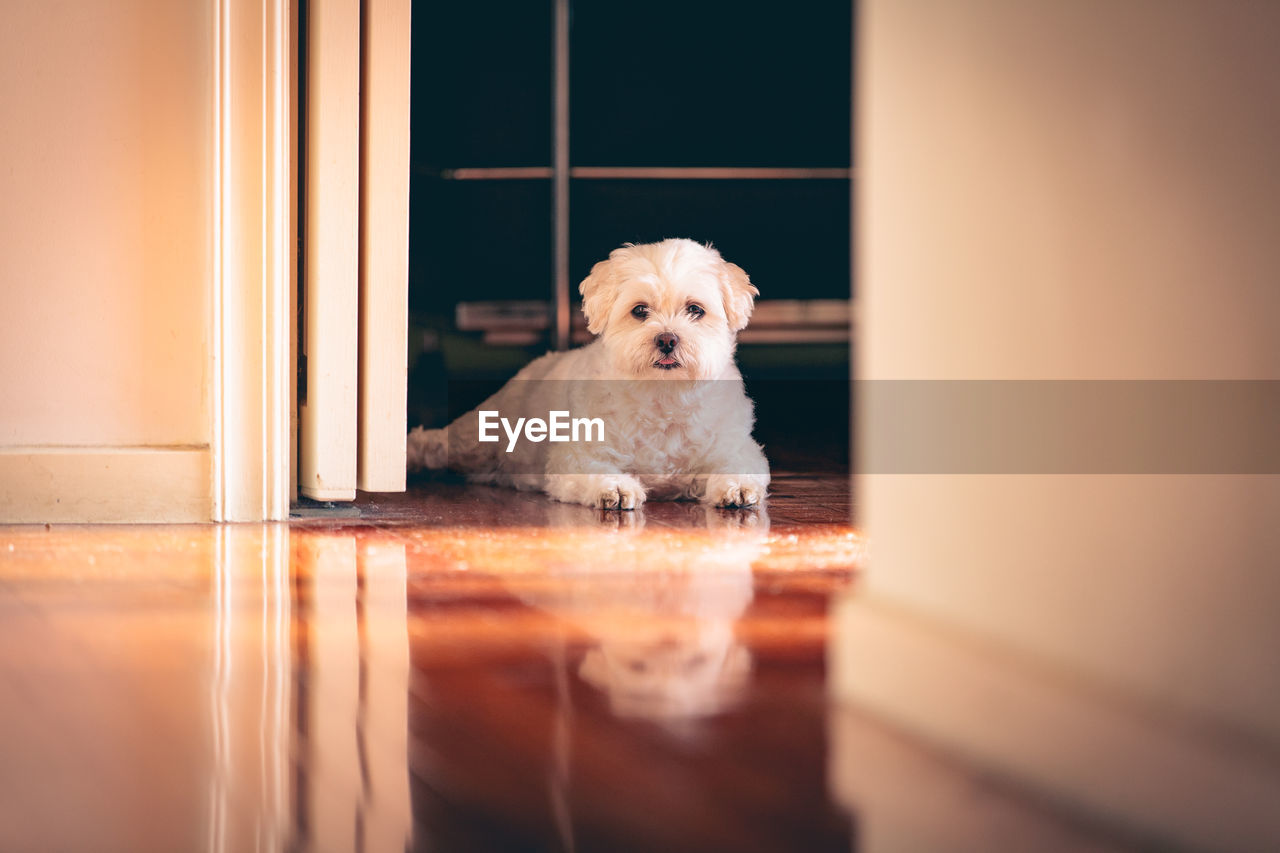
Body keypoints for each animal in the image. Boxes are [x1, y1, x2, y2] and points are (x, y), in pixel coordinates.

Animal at [409, 235, 768, 507]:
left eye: (695, 309)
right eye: (640, 310)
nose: (667, 339)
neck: (663, 395)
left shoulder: (734, 447)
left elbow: (739, 465)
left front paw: (736, 487)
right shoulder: (578, 454)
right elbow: (594, 469)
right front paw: (616, 488)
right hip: (477, 441)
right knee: (437, 444)